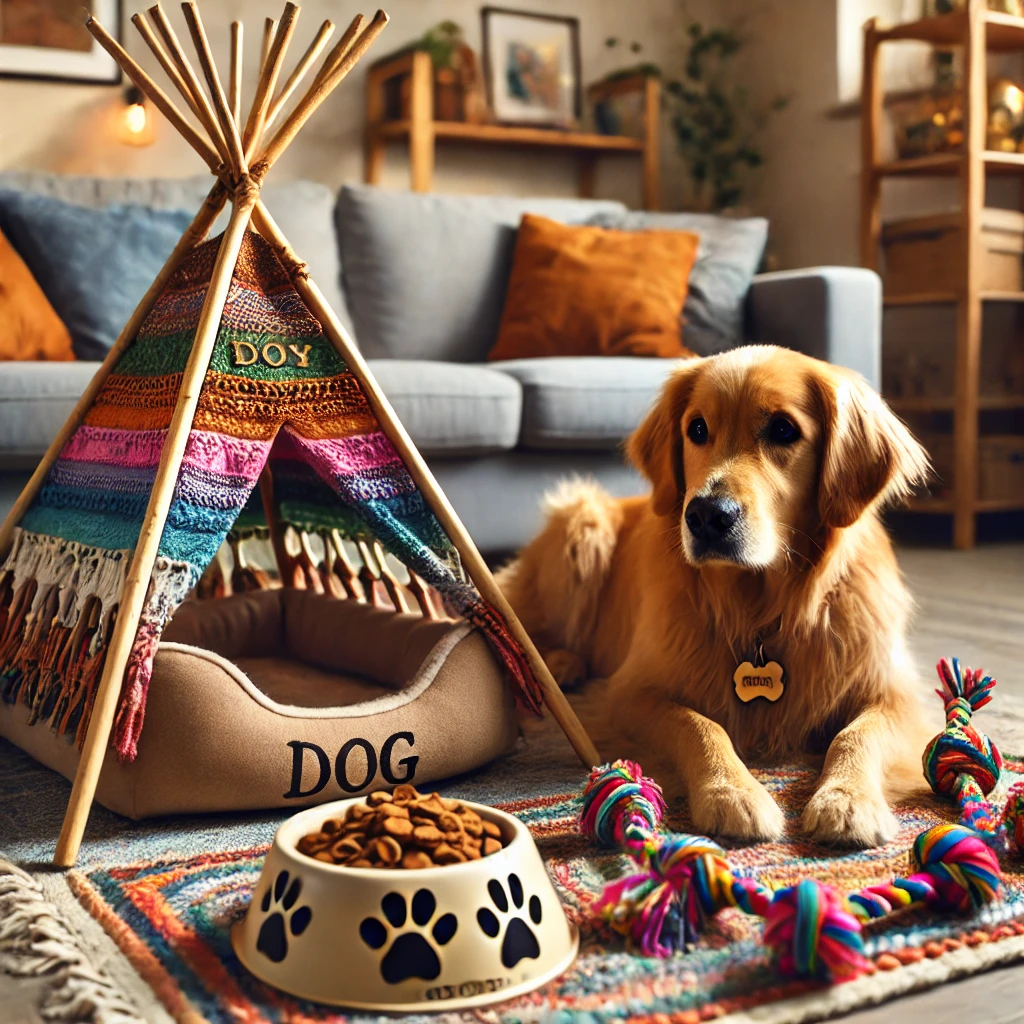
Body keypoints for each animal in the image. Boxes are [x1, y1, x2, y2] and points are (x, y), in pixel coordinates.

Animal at [495, 346, 937, 847]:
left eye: (783, 429)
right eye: (697, 430)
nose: (706, 515)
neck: (760, 607)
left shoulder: (895, 695)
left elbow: (857, 735)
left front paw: (847, 798)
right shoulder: (631, 694)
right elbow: (698, 725)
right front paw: (732, 792)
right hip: (583, 523)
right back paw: (559, 663)